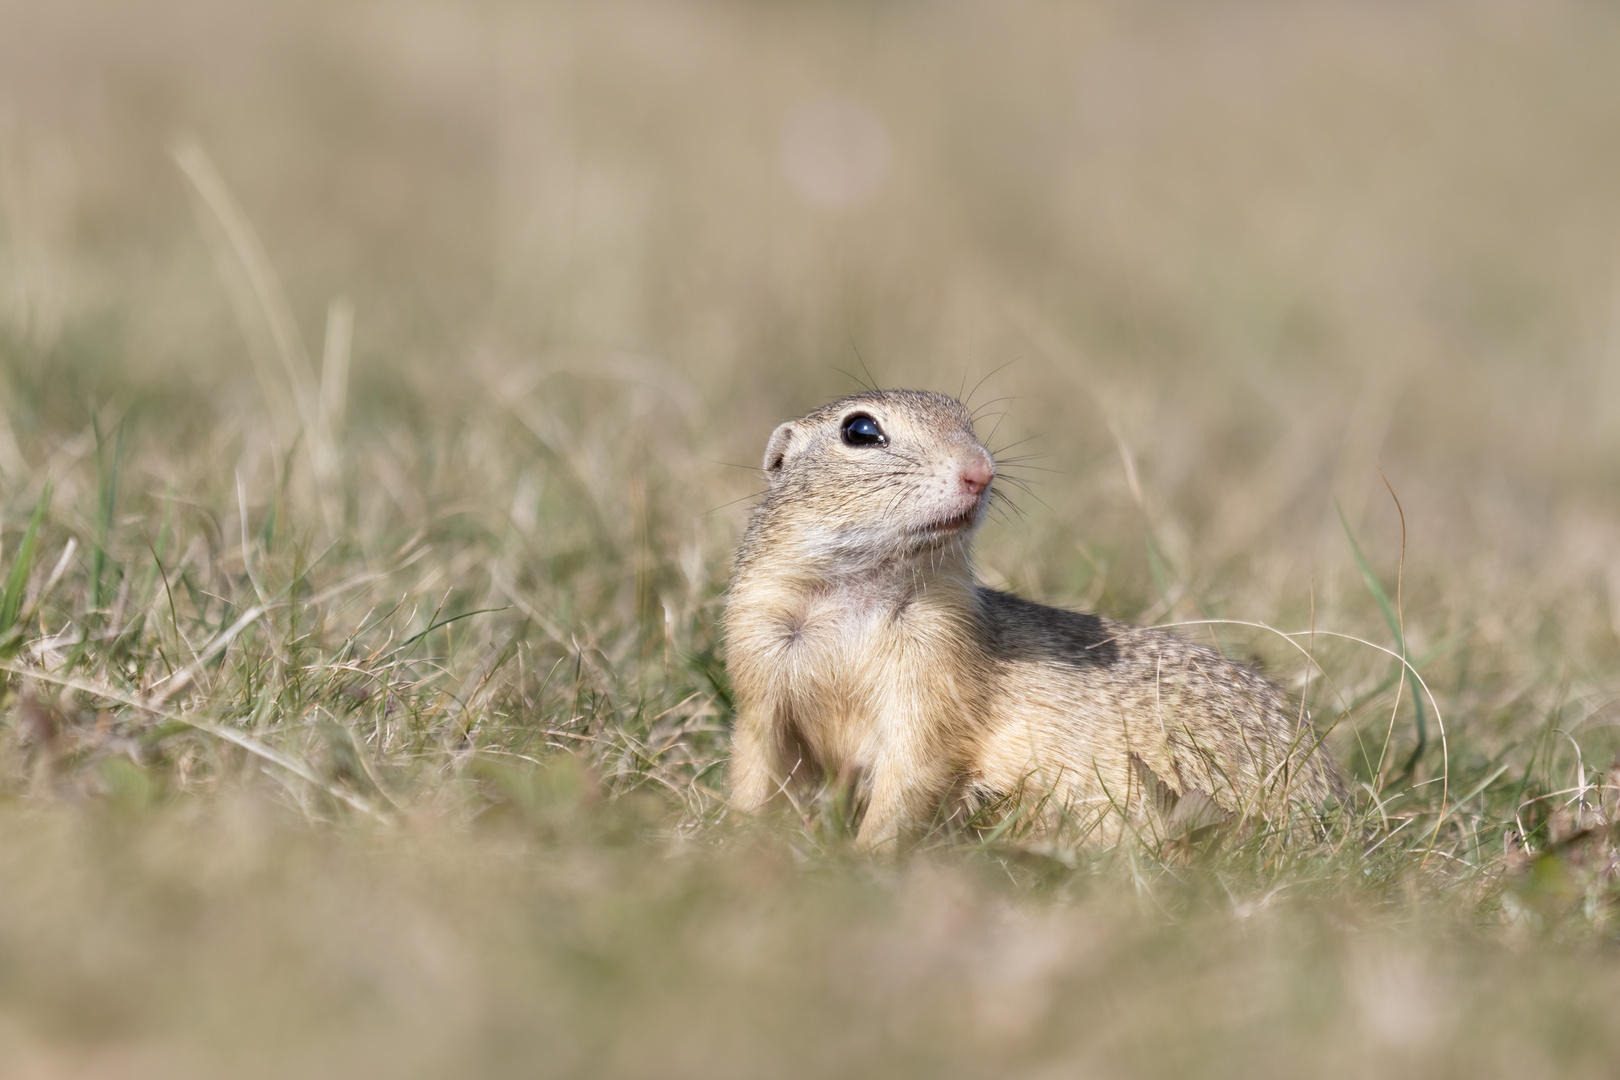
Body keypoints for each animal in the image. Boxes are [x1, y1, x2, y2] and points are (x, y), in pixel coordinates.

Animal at [725, 388, 1341, 854]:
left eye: (966, 419)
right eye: (860, 430)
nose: (982, 470)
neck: (857, 594)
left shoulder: (935, 671)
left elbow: (910, 774)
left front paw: (864, 855)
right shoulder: (758, 657)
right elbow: (756, 766)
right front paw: (737, 841)